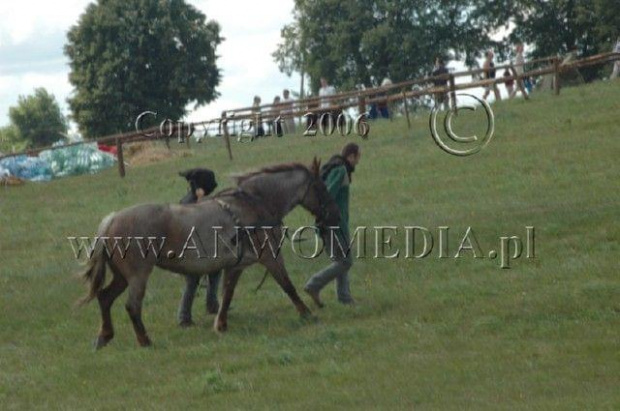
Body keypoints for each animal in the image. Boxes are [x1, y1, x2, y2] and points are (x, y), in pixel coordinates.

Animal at [78, 159, 340, 350]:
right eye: (320, 187)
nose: (333, 214)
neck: (254, 204)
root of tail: (112, 220)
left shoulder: (236, 265)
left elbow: (227, 294)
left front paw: (220, 324)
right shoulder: (270, 257)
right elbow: (287, 285)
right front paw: (307, 313)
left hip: (122, 276)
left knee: (105, 297)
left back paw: (104, 336)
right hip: (137, 276)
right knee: (132, 306)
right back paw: (144, 341)